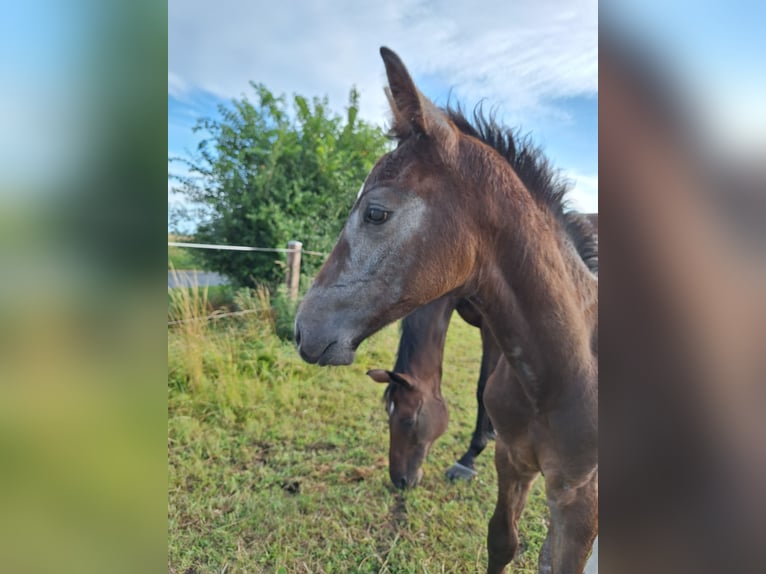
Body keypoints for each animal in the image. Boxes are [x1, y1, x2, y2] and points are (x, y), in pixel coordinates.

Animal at [368, 296, 504, 490]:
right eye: (388, 411)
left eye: (410, 420)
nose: (399, 481)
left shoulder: (491, 329)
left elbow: (483, 389)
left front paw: (468, 459)